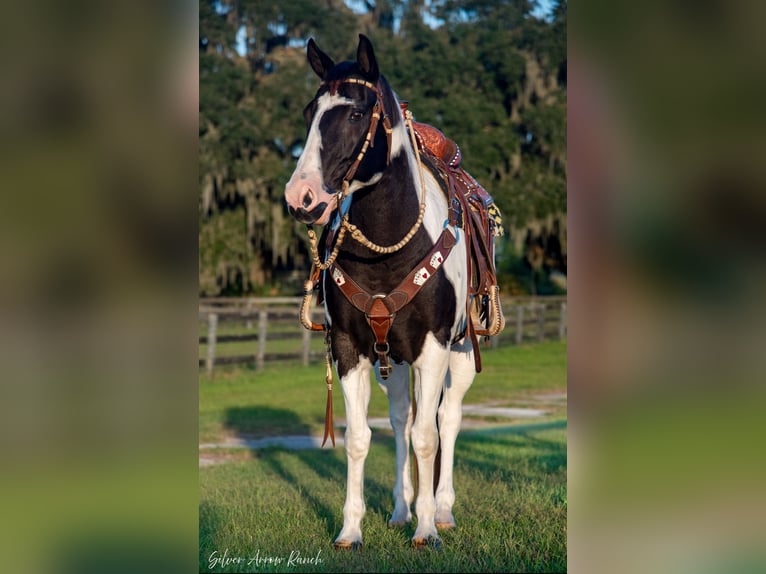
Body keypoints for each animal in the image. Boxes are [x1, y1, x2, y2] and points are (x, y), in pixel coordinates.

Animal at [284, 33, 484, 552]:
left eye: (356, 113)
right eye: (310, 111)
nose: (301, 198)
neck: (388, 249)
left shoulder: (433, 347)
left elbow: (428, 438)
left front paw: (427, 529)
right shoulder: (349, 347)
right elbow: (360, 438)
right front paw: (351, 531)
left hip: (459, 351)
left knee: (448, 418)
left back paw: (443, 511)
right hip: (389, 358)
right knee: (399, 420)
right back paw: (399, 510)